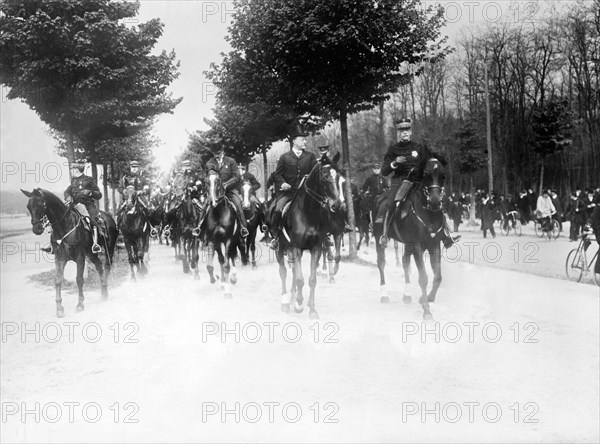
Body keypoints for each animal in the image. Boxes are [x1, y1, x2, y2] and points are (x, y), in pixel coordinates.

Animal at [21, 187, 117, 316]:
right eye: (28, 206)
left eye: (42, 204)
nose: (37, 229)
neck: (64, 225)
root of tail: (109, 217)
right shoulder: (60, 258)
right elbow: (57, 280)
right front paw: (59, 308)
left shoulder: (80, 257)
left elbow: (79, 279)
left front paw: (80, 304)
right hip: (90, 253)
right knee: (99, 266)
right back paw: (103, 292)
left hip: (108, 249)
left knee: (106, 266)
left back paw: (105, 291)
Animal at [276, 158, 342, 318]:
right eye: (325, 177)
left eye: (338, 176)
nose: (337, 205)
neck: (307, 212)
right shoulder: (295, 247)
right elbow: (300, 279)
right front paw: (299, 305)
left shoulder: (315, 247)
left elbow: (312, 280)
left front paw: (311, 310)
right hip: (280, 248)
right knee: (283, 272)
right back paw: (286, 302)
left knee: (293, 271)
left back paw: (293, 298)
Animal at [376, 159, 446, 320]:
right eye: (426, 174)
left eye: (442, 175)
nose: (435, 201)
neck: (428, 214)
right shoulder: (417, 244)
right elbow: (423, 278)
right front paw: (427, 310)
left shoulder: (434, 244)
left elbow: (437, 276)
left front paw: (428, 298)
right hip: (379, 238)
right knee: (381, 263)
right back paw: (384, 295)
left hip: (408, 244)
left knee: (404, 262)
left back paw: (407, 295)